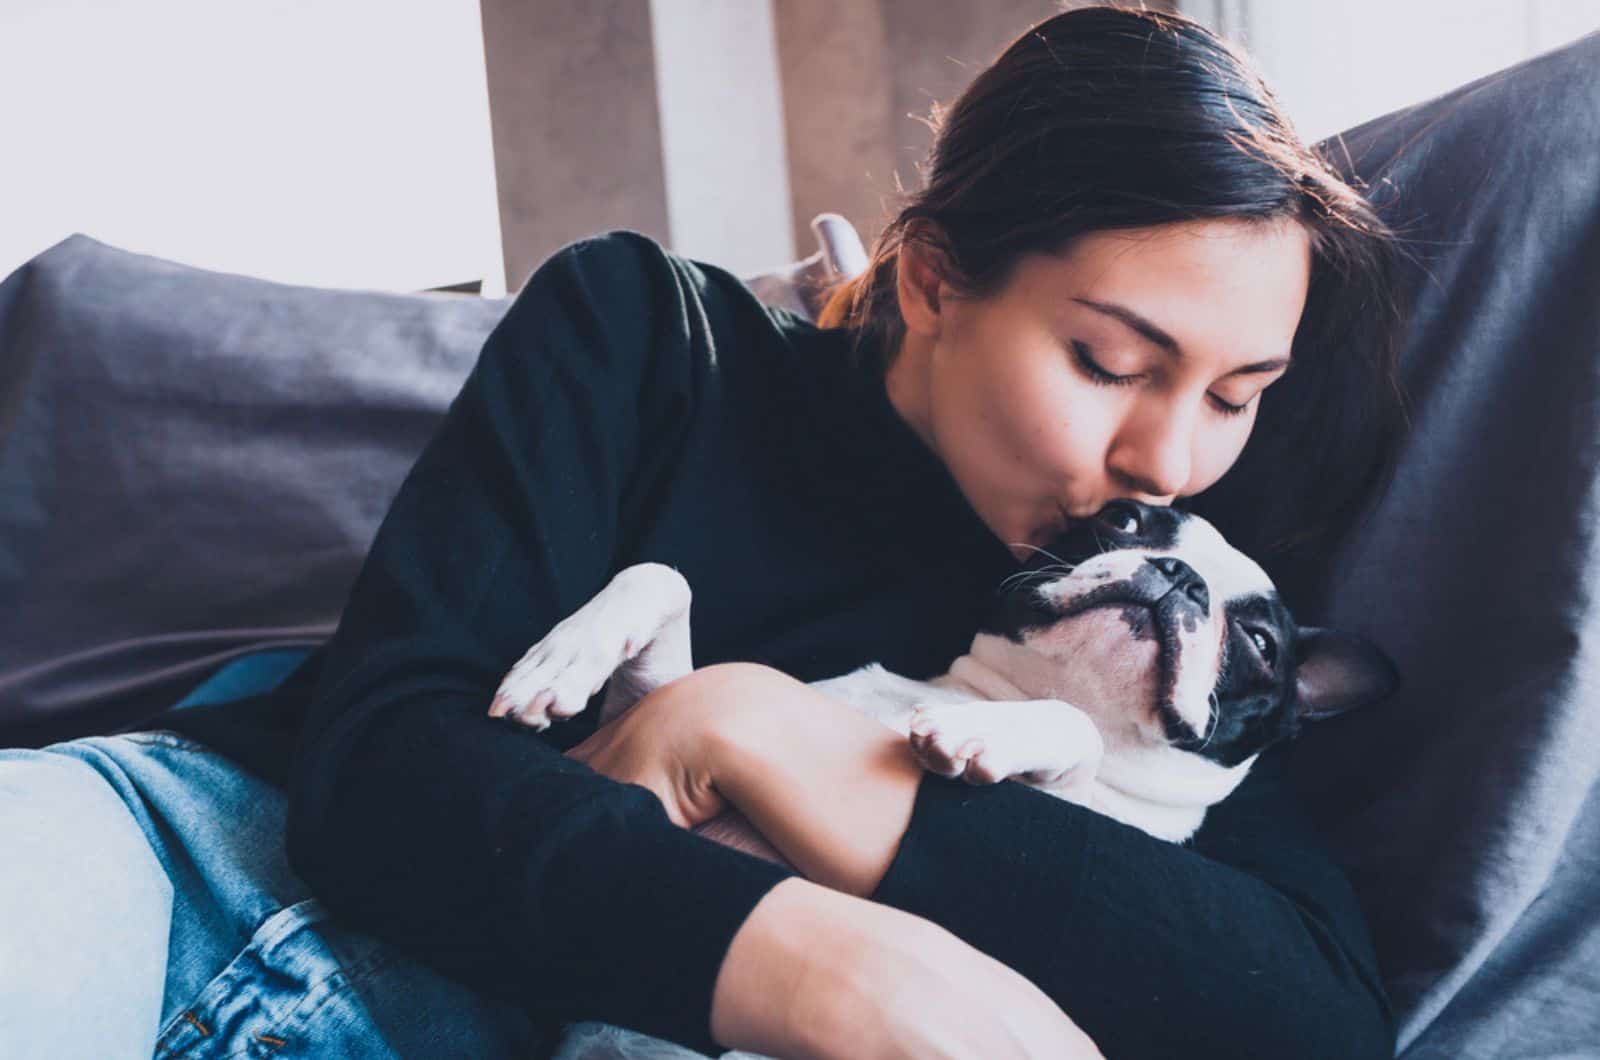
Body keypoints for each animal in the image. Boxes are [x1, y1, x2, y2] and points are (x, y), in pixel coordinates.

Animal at [489, 499, 1401, 858]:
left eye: (1260, 642)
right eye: (1125, 519)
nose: (1179, 575)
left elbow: (1071, 729)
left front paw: (979, 735)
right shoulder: (655, 705)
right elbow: (661, 576)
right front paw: (560, 660)